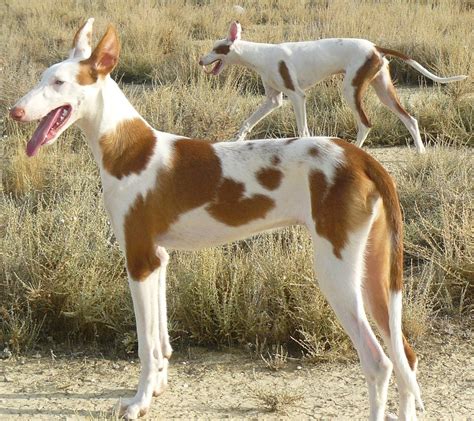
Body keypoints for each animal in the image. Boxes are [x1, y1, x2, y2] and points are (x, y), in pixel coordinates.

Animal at [12, 19, 422, 420]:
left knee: (379, 363)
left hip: (337, 273)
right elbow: (161, 340)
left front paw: (140, 401)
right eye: (41, 78)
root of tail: (361, 158)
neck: (128, 149)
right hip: (374, 273)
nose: (14, 111)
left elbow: (146, 344)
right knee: (405, 355)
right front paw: (158, 386)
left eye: (58, 82)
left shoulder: (139, 259)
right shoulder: (158, 258)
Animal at [199, 20, 466, 153]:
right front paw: (236, 139)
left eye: (215, 49)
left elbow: (303, 131)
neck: (259, 54)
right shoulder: (272, 100)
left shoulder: (297, 96)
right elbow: (247, 122)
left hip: (351, 90)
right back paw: (421, 153)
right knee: (410, 119)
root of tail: (376, 47)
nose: (201, 61)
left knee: (366, 123)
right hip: (383, 90)